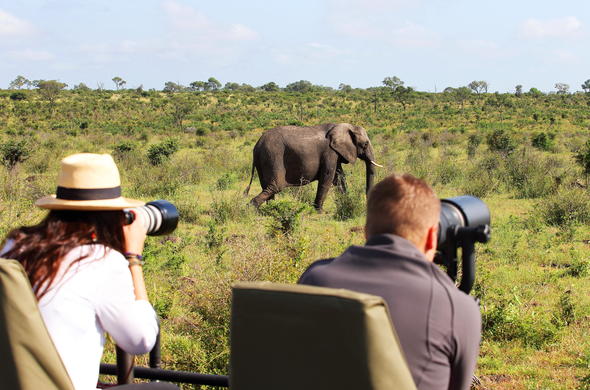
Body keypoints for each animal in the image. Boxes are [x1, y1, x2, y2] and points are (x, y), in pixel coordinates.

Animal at [245, 123, 384, 212]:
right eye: (365, 144)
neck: (344, 126)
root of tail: (257, 145)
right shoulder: (330, 152)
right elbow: (327, 177)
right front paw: (319, 211)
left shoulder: (336, 153)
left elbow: (339, 178)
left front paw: (346, 201)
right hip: (273, 155)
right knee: (275, 185)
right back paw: (251, 209)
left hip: (264, 158)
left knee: (267, 186)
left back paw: (271, 209)